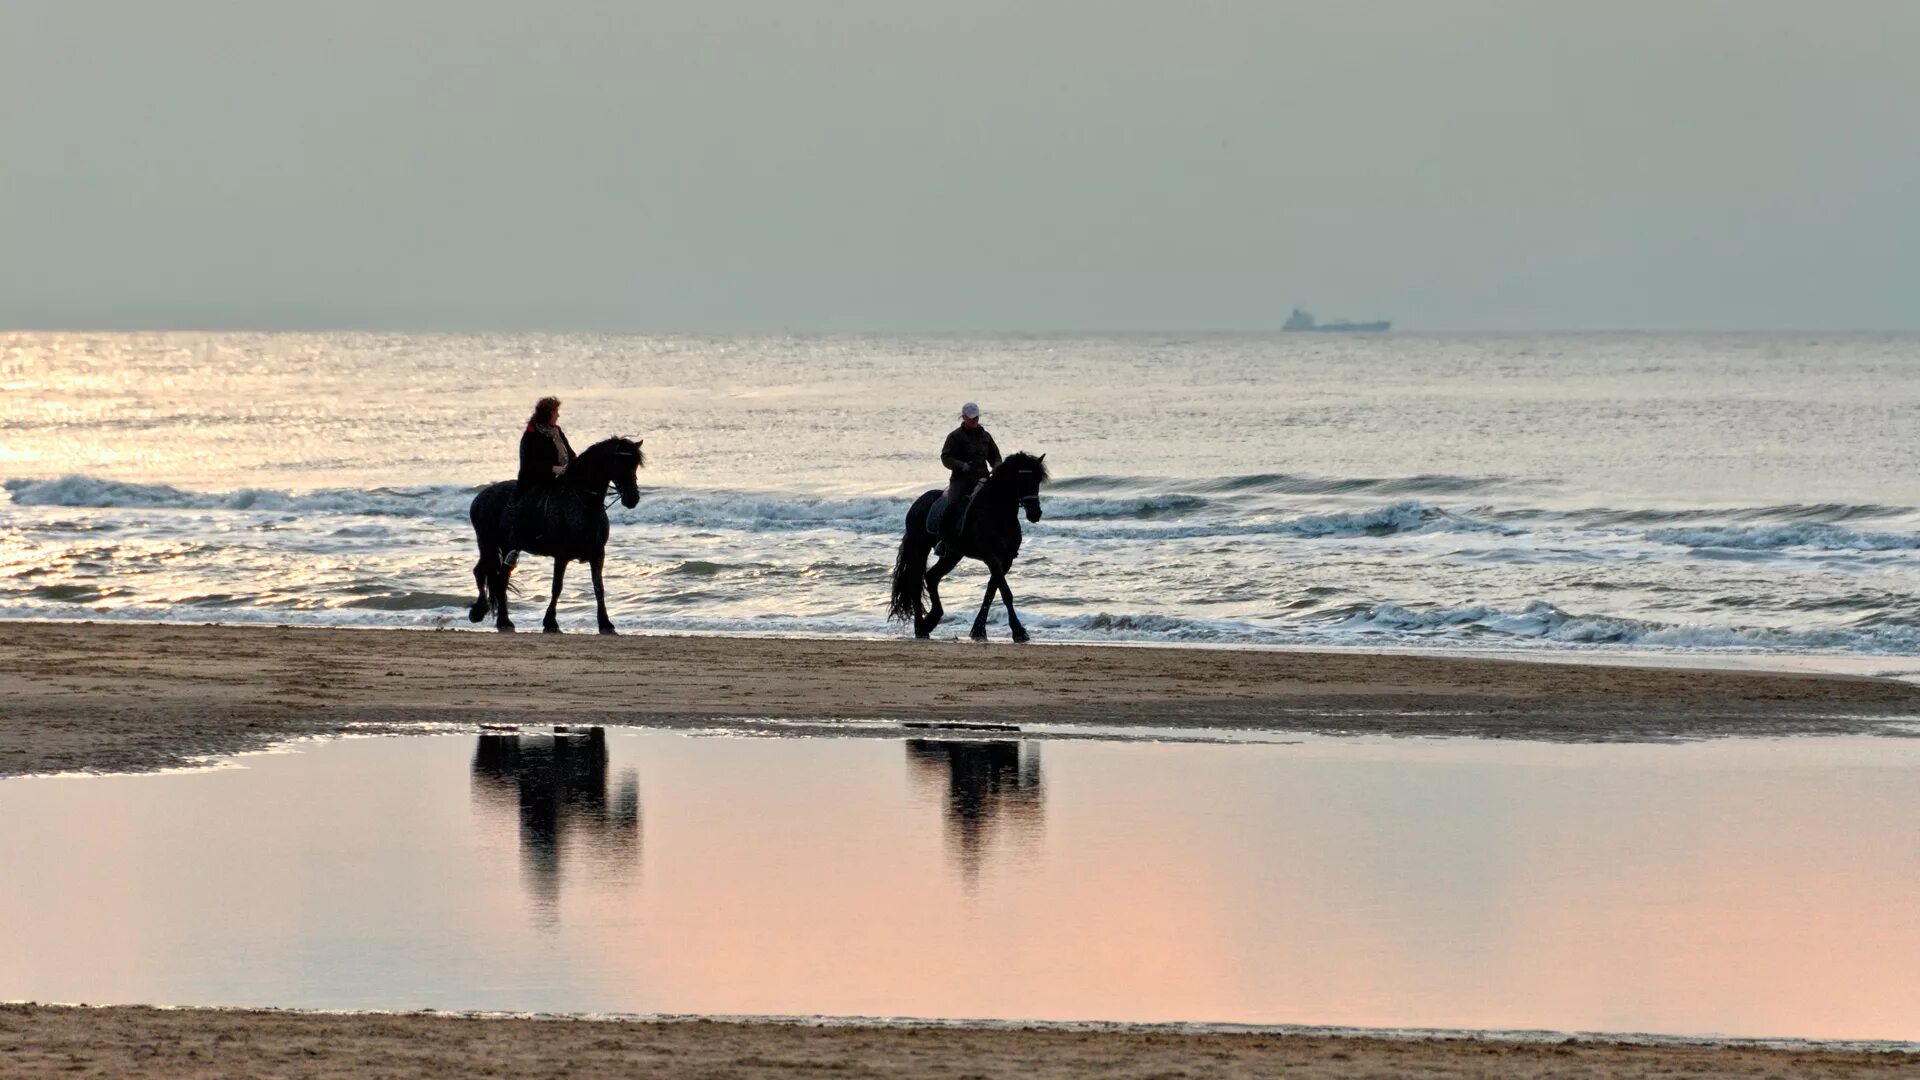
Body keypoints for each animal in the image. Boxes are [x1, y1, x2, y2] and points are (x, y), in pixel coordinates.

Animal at [468, 434, 648, 630]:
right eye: (619, 463)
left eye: (635, 465)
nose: (632, 499)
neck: (584, 504)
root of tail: (480, 497)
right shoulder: (562, 555)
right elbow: (557, 587)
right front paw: (550, 621)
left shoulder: (598, 554)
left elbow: (598, 587)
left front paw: (605, 622)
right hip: (487, 543)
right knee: (481, 571)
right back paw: (478, 612)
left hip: (508, 546)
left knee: (502, 578)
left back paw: (504, 621)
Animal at [887, 447, 1052, 638]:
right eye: (1021, 478)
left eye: (1037, 480)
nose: (1035, 513)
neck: (998, 513)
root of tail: (917, 503)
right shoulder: (991, 556)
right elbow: (1005, 592)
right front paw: (1018, 631)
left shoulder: (1006, 560)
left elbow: (991, 591)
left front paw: (978, 629)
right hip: (919, 548)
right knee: (915, 583)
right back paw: (921, 628)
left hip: (952, 555)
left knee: (931, 577)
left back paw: (931, 620)